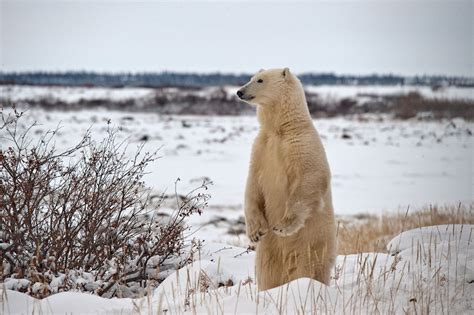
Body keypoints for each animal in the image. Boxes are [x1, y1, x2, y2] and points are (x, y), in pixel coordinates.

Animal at [235, 68, 336, 292]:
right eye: (251, 78)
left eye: (260, 80)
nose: (239, 92)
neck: (282, 128)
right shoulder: (261, 147)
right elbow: (252, 184)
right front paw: (256, 231)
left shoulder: (302, 144)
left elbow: (310, 177)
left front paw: (282, 226)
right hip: (268, 250)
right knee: (267, 272)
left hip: (313, 241)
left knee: (309, 267)